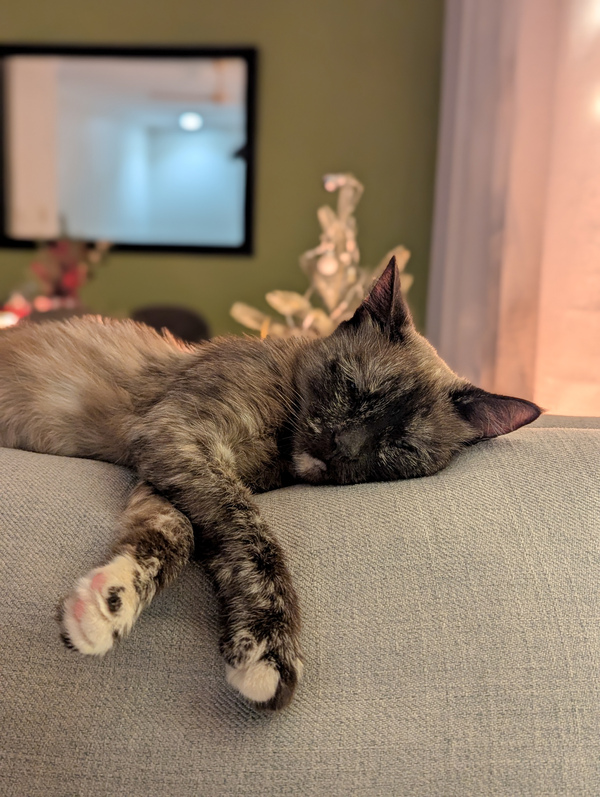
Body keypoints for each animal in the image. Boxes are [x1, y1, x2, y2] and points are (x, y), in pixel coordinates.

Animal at [0, 257, 541, 710]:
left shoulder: (172, 472)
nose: (342, 446)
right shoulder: (179, 438)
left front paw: (108, 602)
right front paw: (270, 646)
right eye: (353, 388)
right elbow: (251, 534)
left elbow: (177, 535)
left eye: (401, 446)